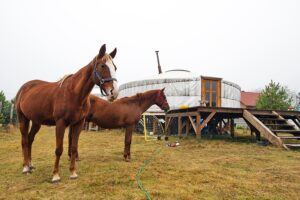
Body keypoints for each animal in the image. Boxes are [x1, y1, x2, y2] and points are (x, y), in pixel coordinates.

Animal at [15, 44, 118, 182]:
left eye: (115, 67)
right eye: (103, 66)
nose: (114, 92)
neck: (74, 93)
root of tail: (24, 88)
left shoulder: (78, 123)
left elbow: (73, 148)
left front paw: (73, 173)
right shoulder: (60, 123)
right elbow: (59, 149)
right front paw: (55, 175)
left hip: (36, 122)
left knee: (30, 139)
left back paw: (31, 165)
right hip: (23, 118)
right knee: (24, 141)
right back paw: (26, 167)